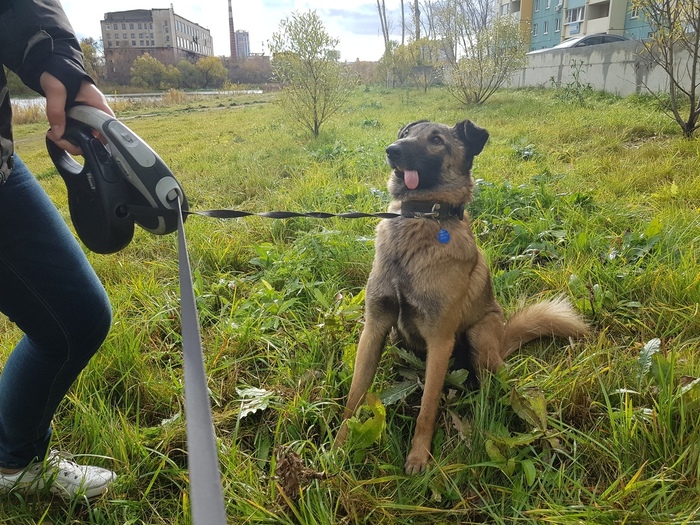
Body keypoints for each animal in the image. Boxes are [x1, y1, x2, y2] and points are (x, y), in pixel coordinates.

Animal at [336, 119, 588, 474]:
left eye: (437, 140)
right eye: (406, 135)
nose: (392, 150)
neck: (421, 218)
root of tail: (502, 341)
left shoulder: (440, 341)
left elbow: (428, 407)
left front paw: (418, 457)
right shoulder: (374, 327)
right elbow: (355, 395)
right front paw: (339, 446)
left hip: (479, 338)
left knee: (494, 385)